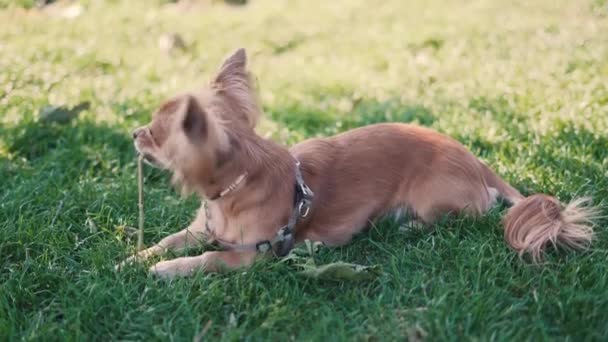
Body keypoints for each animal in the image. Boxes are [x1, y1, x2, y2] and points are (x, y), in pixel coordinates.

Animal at [126, 48, 596, 278]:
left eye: (154, 131)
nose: (132, 132)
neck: (229, 194)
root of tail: (476, 162)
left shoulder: (254, 257)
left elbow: (206, 259)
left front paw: (165, 270)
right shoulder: (198, 229)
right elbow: (167, 240)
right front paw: (133, 258)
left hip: (434, 199)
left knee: (460, 217)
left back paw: (408, 225)